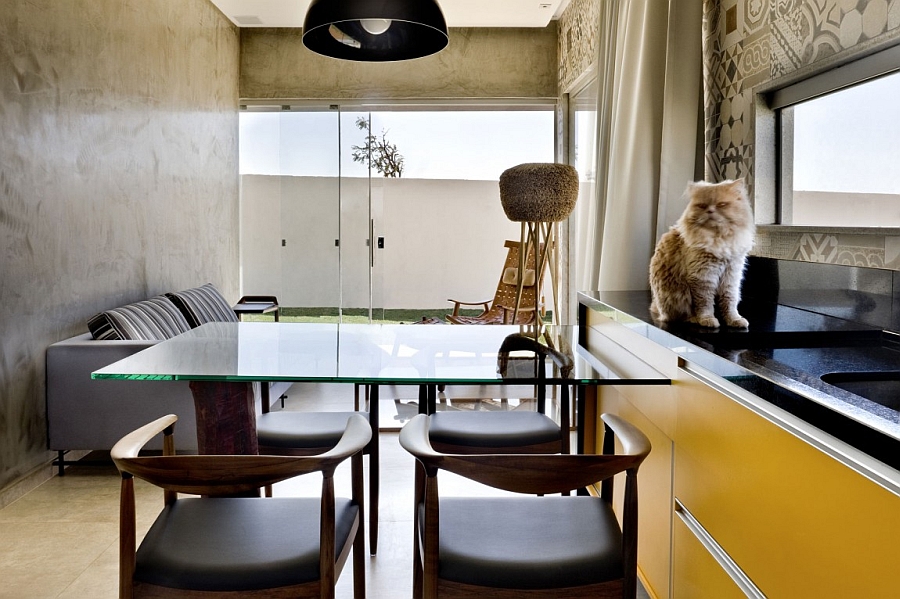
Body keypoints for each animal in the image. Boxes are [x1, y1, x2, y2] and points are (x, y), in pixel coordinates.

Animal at [652, 179, 756, 328]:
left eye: (721, 204)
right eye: (702, 206)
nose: (710, 211)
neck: (719, 238)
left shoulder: (731, 277)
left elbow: (729, 304)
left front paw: (735, 320)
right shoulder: (703, 277)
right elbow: (705, 305)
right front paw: (708, 320)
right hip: (677, 298)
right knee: (680, 316)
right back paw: (694, 319)